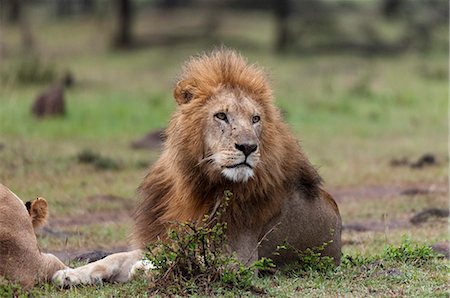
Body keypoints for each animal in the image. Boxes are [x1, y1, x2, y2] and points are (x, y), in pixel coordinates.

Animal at [52, 49, 342, 286]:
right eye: (221, 116)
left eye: (255, 119)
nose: (248, 147)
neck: (199, 181)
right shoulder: (166, 236)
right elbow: (115, 257)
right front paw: (70, 273)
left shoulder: (240, 261)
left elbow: (179, 260)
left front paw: (144, 268)